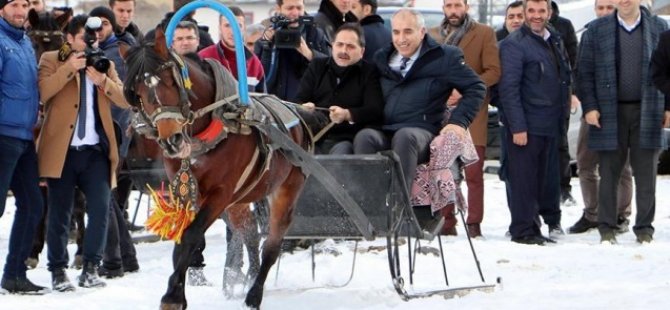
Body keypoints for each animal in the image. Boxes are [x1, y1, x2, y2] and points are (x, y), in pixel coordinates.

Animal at [121, 27, 322, 308]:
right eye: (137, 93)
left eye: (170, 81)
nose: (172, 140)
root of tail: (298, 117)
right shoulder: (185, 192)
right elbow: (182, 238)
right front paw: (178, 292)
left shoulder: (221, 193)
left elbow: (192, 235)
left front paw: (172, 296)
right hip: (239, 200)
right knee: (249, 232)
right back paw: (246, 278)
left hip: (286, 189)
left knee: (272, 244)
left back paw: (253, 295)